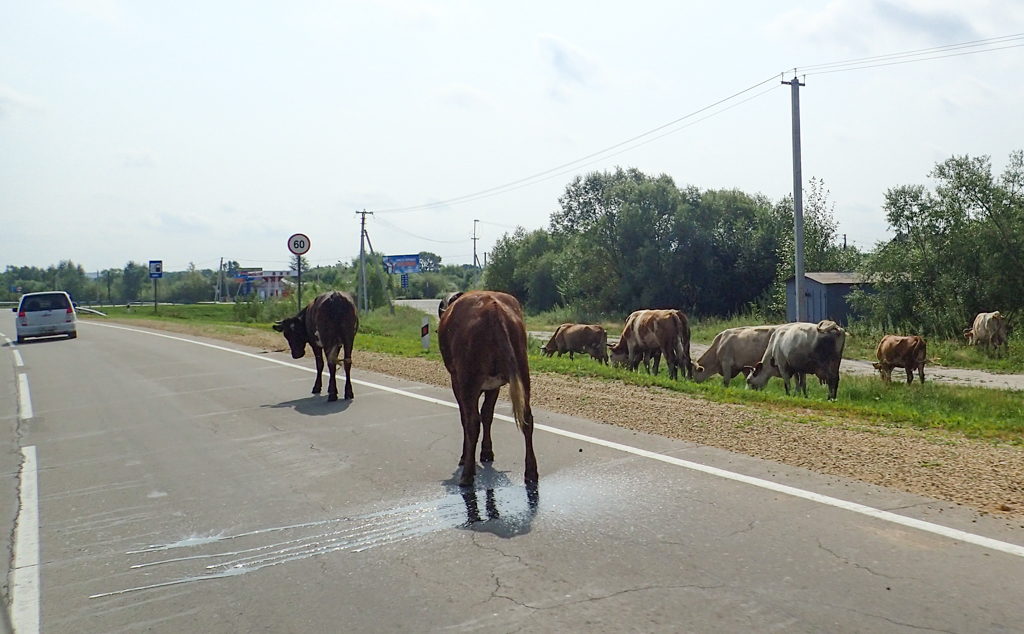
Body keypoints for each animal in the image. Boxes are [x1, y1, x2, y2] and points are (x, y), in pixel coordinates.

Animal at [438, 291, 538, 488]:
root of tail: (494, 308)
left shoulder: (457, 382)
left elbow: (468, 417)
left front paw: (467, 456)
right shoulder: (494, 385)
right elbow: (487, 414)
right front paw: (486, 452)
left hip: (468, 378)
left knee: (472, 422)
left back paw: (467, 474)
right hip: (523, 373)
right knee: (527, 418)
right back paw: (531, 471)